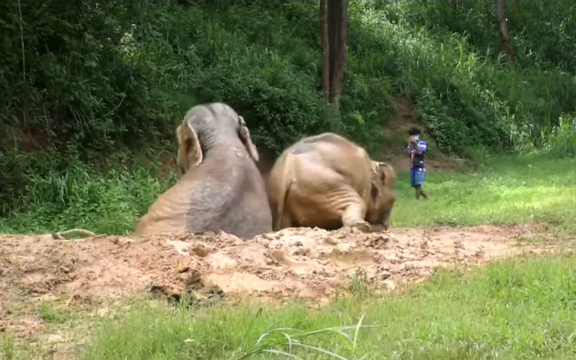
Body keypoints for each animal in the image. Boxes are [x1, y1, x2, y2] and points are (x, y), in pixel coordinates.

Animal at [266, 133, 396, 233]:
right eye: (393, 200)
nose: (385, 226)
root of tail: (286, 169)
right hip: (324, 184)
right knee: (357, 204)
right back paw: (363, 227)